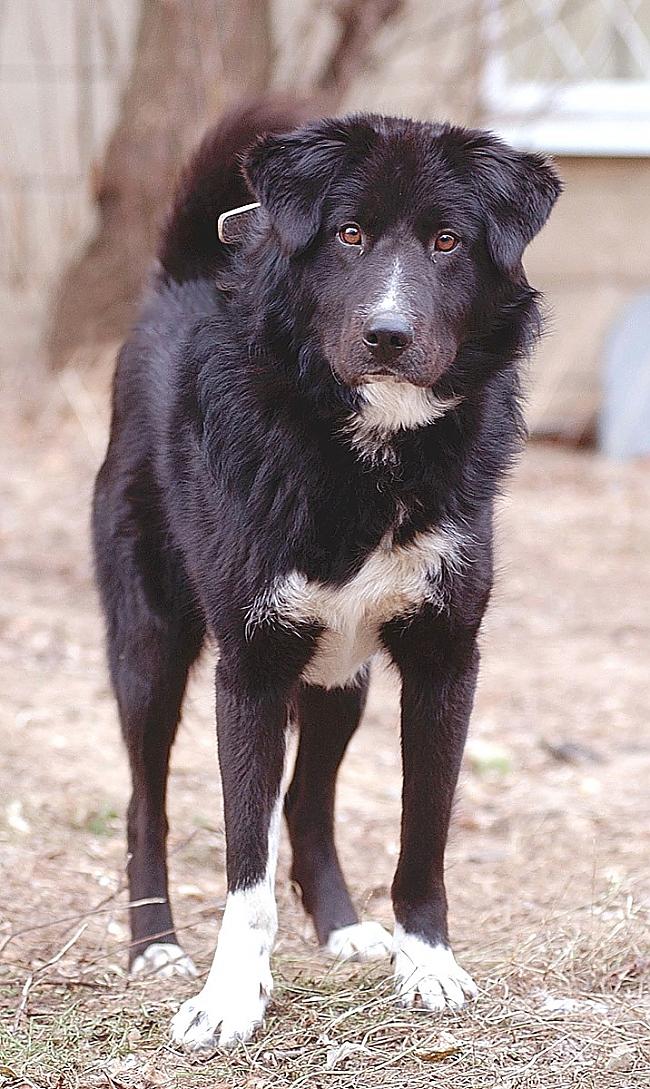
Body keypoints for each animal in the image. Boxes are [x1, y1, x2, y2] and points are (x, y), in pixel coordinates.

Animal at [93, 106, 561, 1049]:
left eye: (448, 241)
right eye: (348, 234)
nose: (388, 335)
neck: (369, 452)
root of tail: (179, 280)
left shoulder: (445, 658)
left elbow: (423, 834)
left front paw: (427, 963)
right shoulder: (250, 667)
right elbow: (245, 862)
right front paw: (230, 998)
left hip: (342, 674)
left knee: (308, 802)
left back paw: (342, 926)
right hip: (151, 646)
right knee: (144, 801)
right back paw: (154, 945)